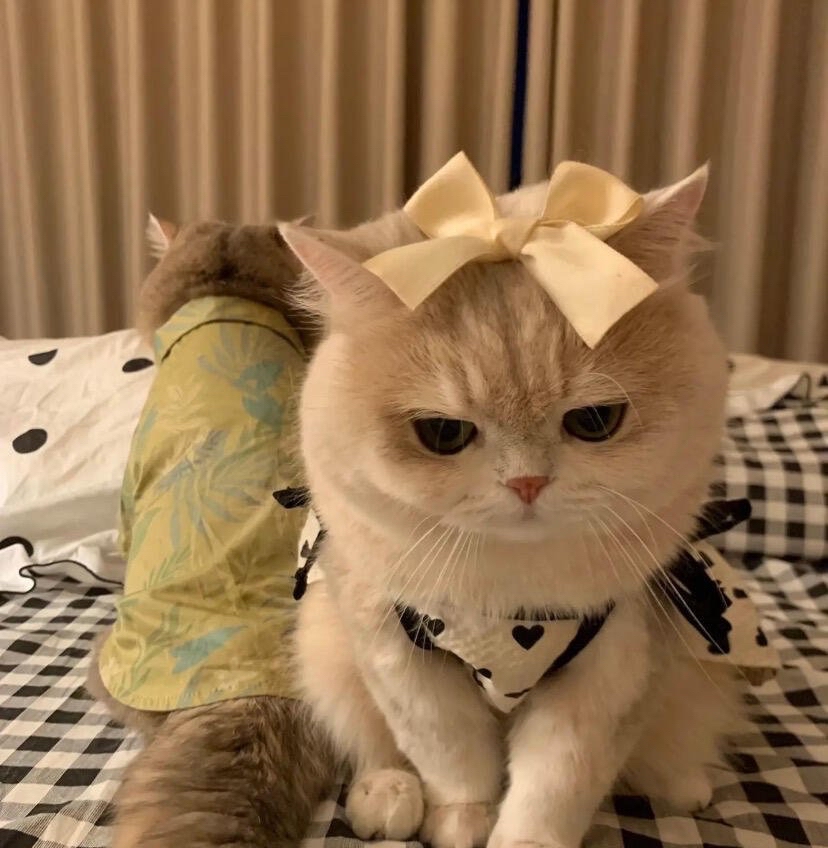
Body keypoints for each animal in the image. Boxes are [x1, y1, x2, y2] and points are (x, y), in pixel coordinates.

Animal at [281, 163, 744, 848]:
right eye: (443, 433)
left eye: (594, 422)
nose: (528, 483)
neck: (511, 603)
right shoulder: (398, 659)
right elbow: (451, 757)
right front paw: (462, 821)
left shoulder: (613, 673)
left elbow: (555, 785)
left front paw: (521, 837)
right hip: (325, 648)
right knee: (369, 741)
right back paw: (386, 795)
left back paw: (684, 785)